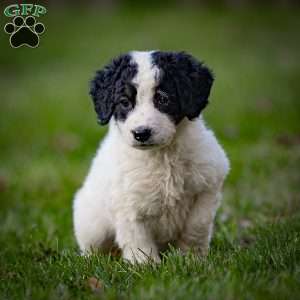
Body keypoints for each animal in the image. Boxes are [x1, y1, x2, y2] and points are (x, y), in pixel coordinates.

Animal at [73, 51, 230, 262]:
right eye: (124, 102)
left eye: (163, 99)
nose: (141, 133)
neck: (163, 156)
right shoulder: (128, 204)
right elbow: (138, 241)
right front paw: (146, 266)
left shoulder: (207, 188)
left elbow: (196, 226)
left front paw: (192, 259)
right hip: (92, 226)